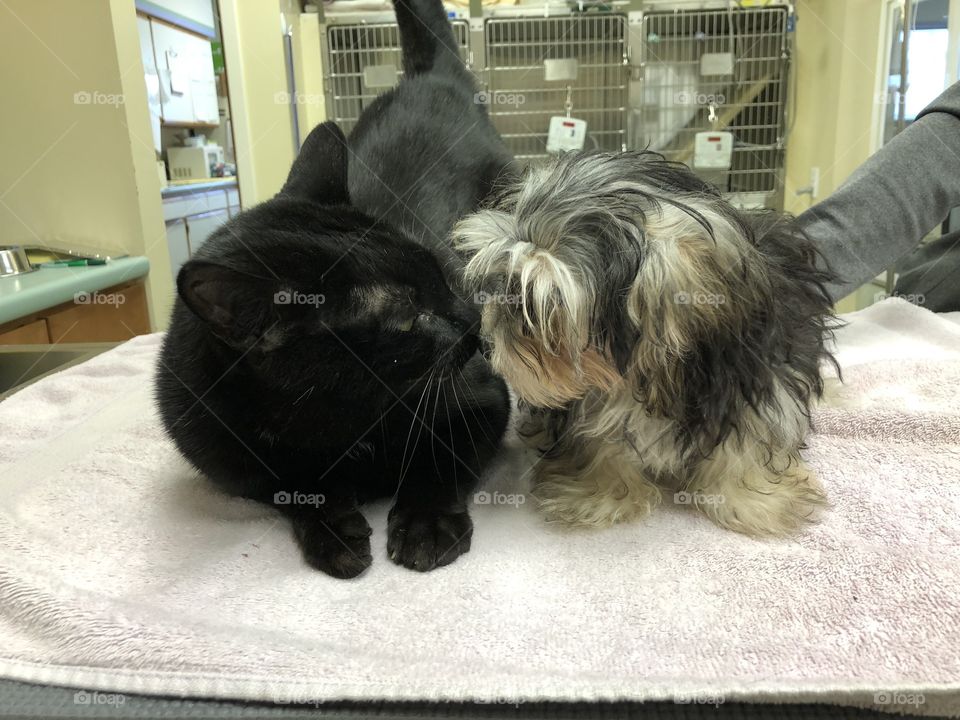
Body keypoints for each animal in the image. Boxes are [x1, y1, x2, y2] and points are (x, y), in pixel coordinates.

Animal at [158, 0, 512, 580]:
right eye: (408, 315)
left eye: (441, 272)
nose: (474, 321)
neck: (342, 419)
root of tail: (429, 77)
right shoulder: (234, 466)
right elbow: (293, 487)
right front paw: (334, 533)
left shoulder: (483, 398)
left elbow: (440, 462)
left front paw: (425, 525)